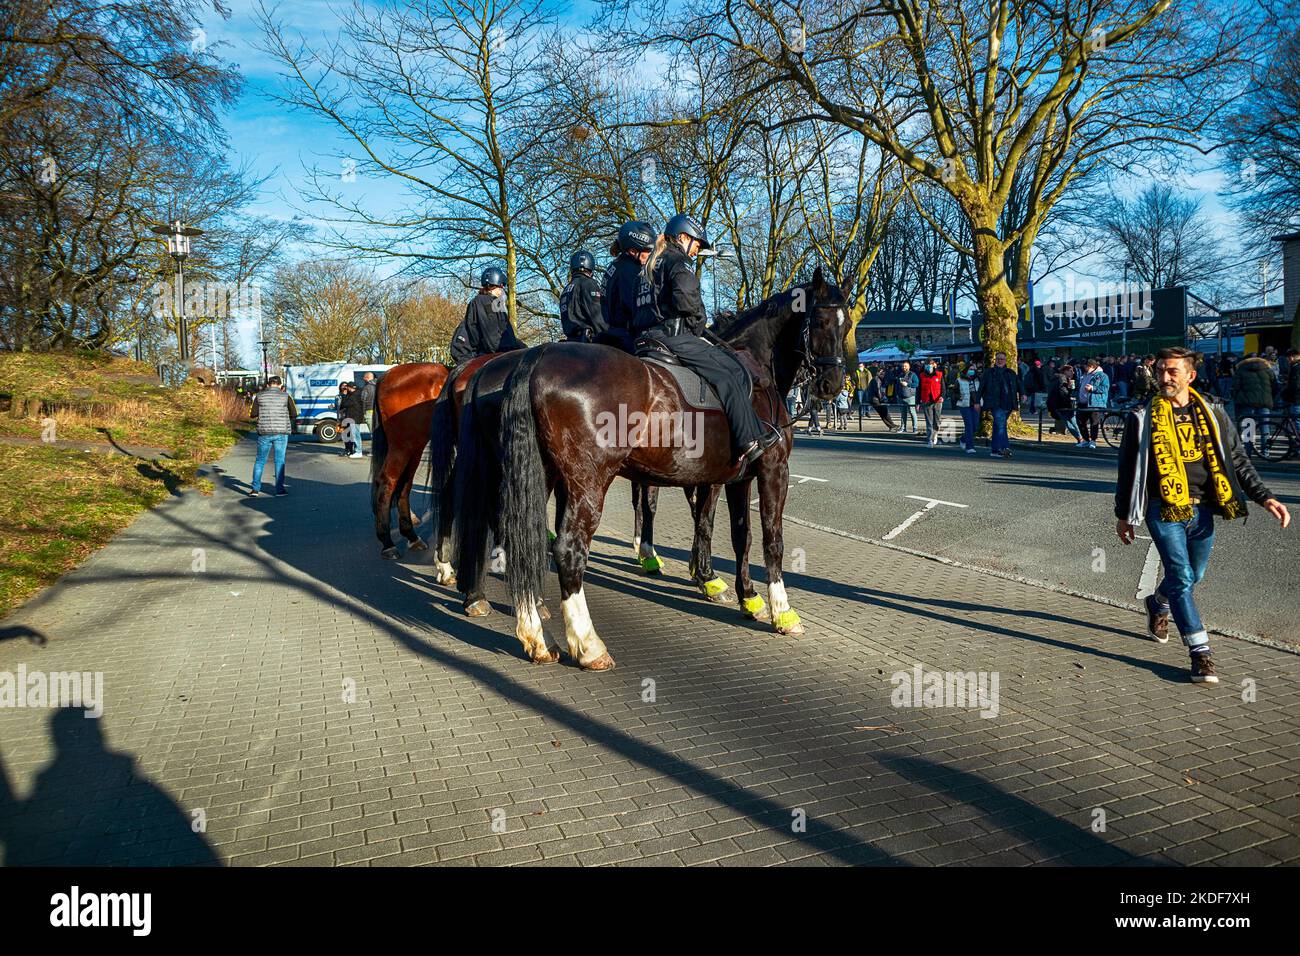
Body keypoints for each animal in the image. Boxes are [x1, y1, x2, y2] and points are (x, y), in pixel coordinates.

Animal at [371, 366, 452, 561]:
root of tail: (386, 375)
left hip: (414, 447)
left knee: (404, 484)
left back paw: (411, 535)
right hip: (402, 445)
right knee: (388, 481)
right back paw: (388, 543)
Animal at [452, 267, 847, 671]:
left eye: (847, 323)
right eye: (820, 320)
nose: (831, 384)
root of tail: (534, 357)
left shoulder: (736, 479)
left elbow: (741, 537)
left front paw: (747, 597)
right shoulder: (771, 470)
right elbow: (770, 539)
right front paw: (780, 610)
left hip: (538, 474)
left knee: (520, 536)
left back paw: (533, 633)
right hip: (587, 481)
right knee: (567, 549)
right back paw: (588, 644)